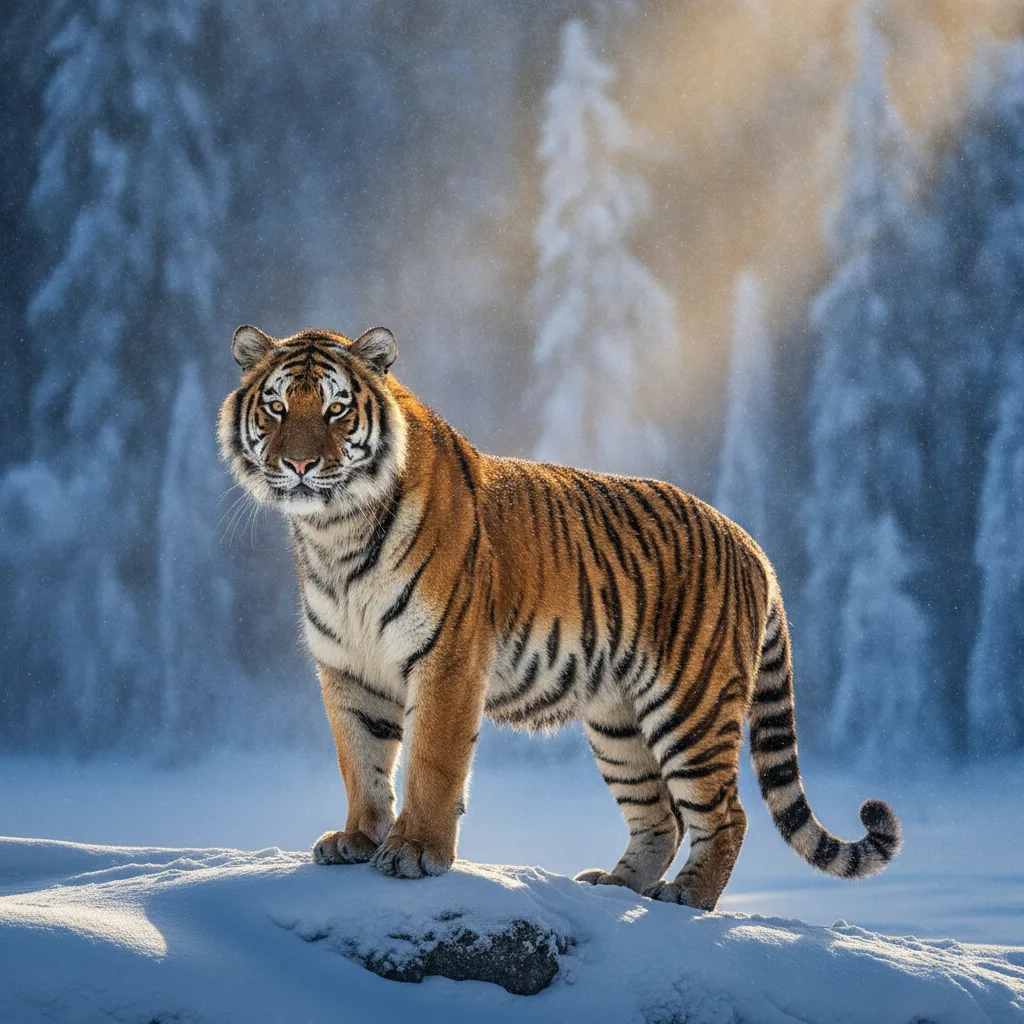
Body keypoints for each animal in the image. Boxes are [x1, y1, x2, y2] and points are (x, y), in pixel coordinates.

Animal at [218, 322, 901, 911]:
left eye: (336, 410)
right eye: (277, 407)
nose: (300, 466)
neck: (336, 533)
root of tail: (752, 545)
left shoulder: (447, 660)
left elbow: (431, 763)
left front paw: (414, 853)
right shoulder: (347, 669)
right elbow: (360, 761)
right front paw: (358, 839)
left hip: (691, 707)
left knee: (725, 815)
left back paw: (687, 896)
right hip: (618, 722)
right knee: (661, 818)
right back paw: (614, 886)